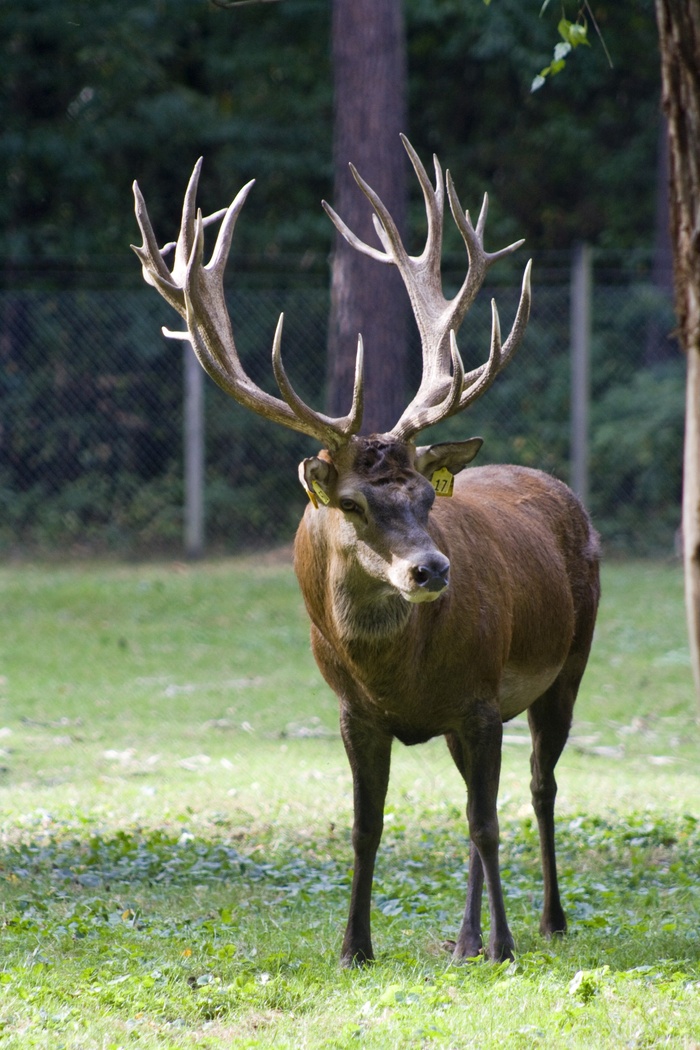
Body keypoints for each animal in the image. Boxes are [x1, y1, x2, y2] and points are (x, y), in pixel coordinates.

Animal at [132, 136, 600, 966]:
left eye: (425, 497)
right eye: (352, 503)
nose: (432, 569)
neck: (395, 673)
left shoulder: (481, 698)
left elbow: (487, 822)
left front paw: (506, 945)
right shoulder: (354, 712)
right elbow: (366, 827)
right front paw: (355, 945)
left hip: (568, 662)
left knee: (540, 787)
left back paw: (547, 920)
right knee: (484, 800)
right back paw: (464, 939)